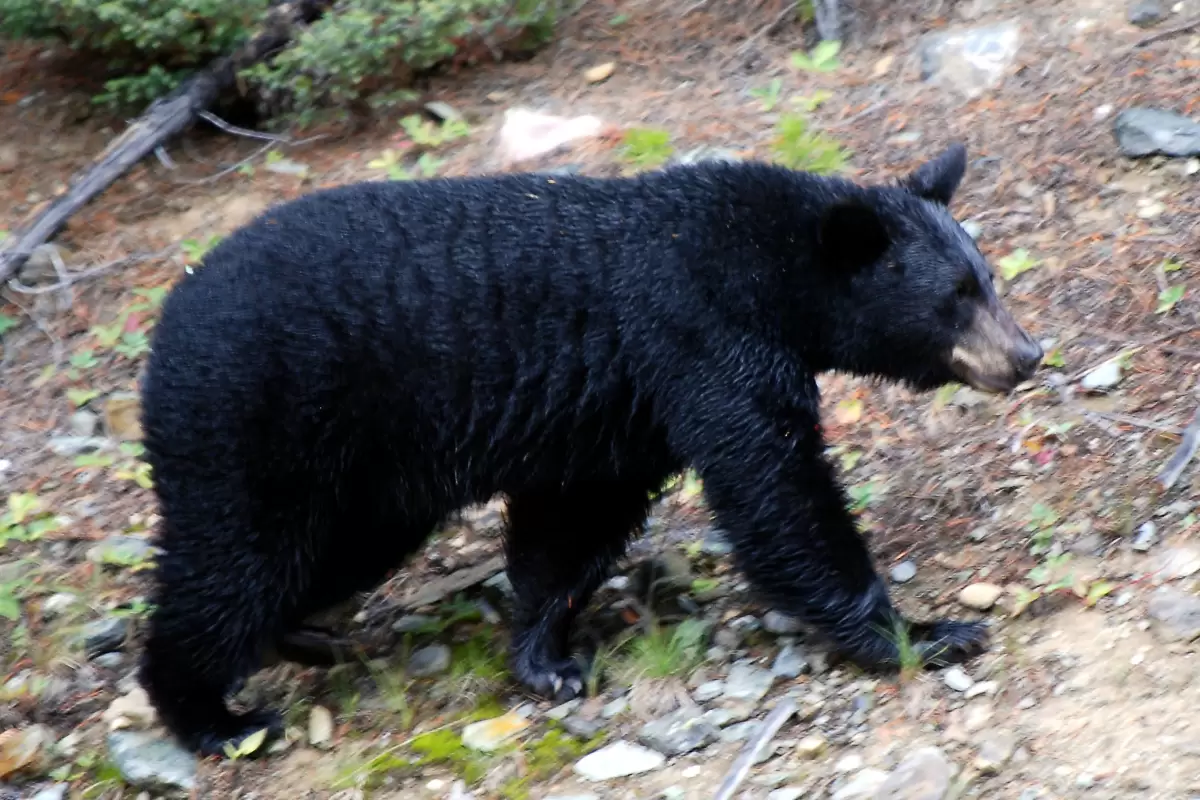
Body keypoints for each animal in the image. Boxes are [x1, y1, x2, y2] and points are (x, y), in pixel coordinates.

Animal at [138, 145, 1041, 758]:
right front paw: (924, 632)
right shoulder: (703, 340)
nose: (1027, 354)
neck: (770, 270)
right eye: (955, 297)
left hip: (365, 477)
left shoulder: (624, 412)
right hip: (256, 421)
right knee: (235, 563)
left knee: (330, 554)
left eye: (986, 276)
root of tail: (168, 319)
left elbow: (573, 526)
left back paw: (306, 638)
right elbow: (779, 494)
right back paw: (213, 717)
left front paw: (546, 660)